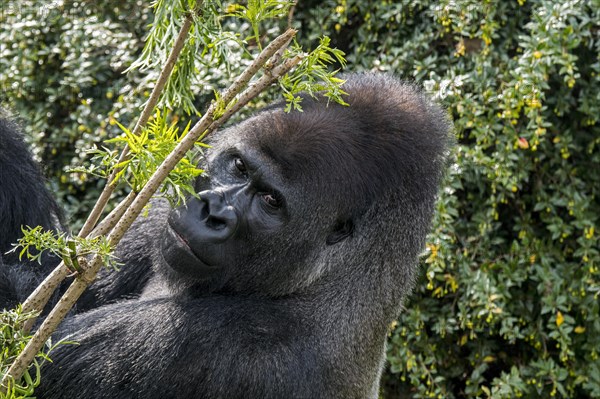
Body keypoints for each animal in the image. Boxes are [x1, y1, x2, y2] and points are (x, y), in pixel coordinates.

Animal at [0, 73, 450, 398]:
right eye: (238, 166)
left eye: (270, 201)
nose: (213, 212)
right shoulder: (165, 210)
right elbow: (58, 284)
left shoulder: (201, 346)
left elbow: (21, 359)